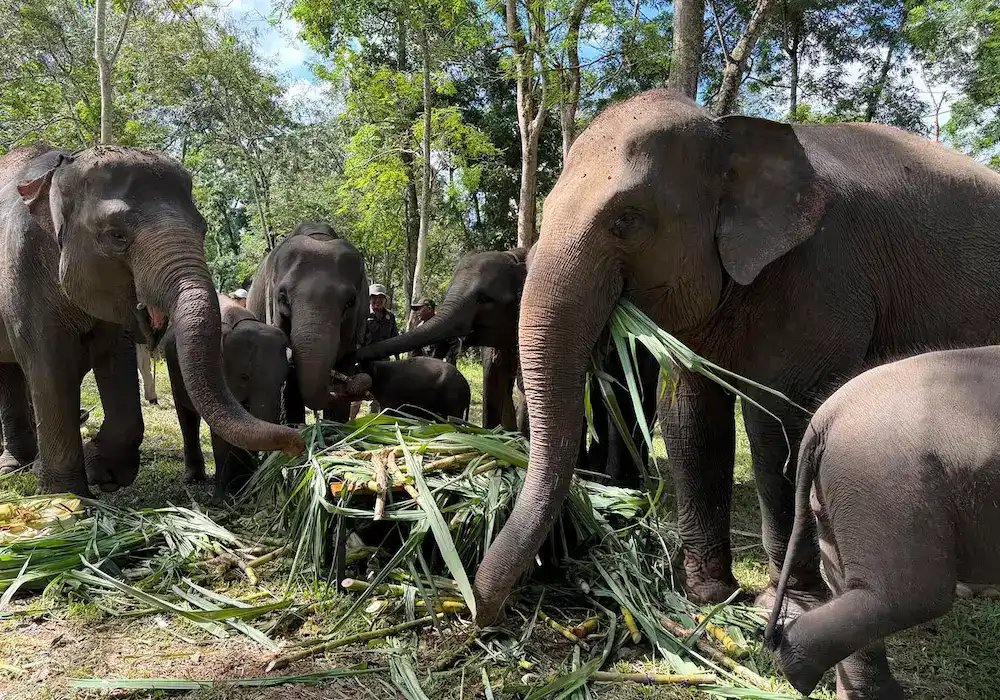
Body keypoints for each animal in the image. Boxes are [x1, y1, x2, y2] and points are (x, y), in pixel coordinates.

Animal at [163, 292, 292, 502]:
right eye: (244, 376)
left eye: (285, 377)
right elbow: (221, 434)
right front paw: (223, 500)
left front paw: (244, 490)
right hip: (173, 368)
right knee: (186, 415)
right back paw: (192, 479)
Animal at [469, 89, 1000, 626]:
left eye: (627, 220)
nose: (482, 610)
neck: (728, 130)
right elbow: (690, 415)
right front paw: (706, 595)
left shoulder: (822, 276)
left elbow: (780, 424)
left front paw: (789, 609)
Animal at [765, 346, 1000, 700]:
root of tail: (825, 417)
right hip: (887, 486)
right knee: (911, 595)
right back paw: (797, 673)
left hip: (841, 495)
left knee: (850, 586)